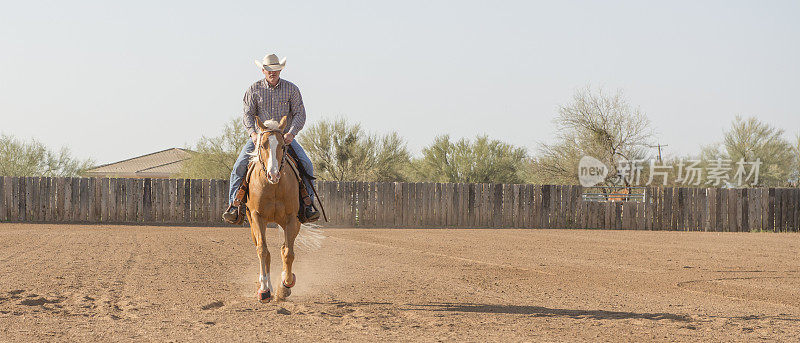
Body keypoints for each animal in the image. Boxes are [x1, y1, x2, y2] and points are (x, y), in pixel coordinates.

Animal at [244, 116, 300, 304]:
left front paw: (286, 284)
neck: (274, 186)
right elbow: (263, 251)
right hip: (253, 224)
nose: (273, 174)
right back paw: (266, 286)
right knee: (264, 252)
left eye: (283, 146)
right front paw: (264, 290)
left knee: (284, 249)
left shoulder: (292, 219)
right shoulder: (257, 217)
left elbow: (288, 253)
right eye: (262, 145)